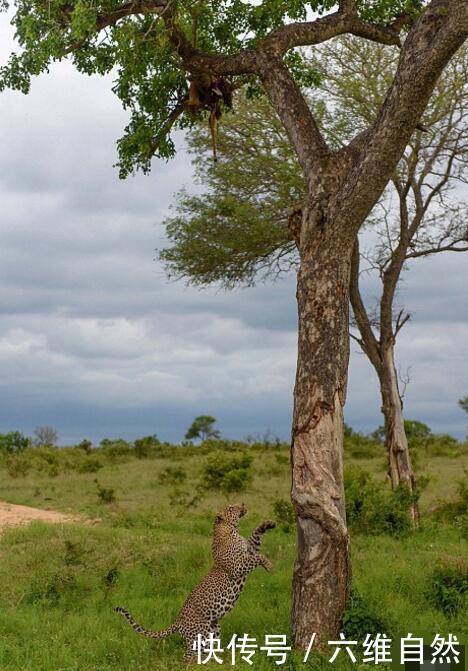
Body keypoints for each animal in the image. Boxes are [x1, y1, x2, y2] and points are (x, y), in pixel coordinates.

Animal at [114, 504, 274, 660]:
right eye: (231, 507)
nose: (243, 504)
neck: (230, 530)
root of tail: (178, 621)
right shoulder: (237, 566)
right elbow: (258, 557)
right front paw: (269, 565)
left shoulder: (249, 549)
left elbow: (255, 537)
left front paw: (267, 524)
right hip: (199, 634)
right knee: (187, 656)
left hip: (213, 630)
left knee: (205, 652)